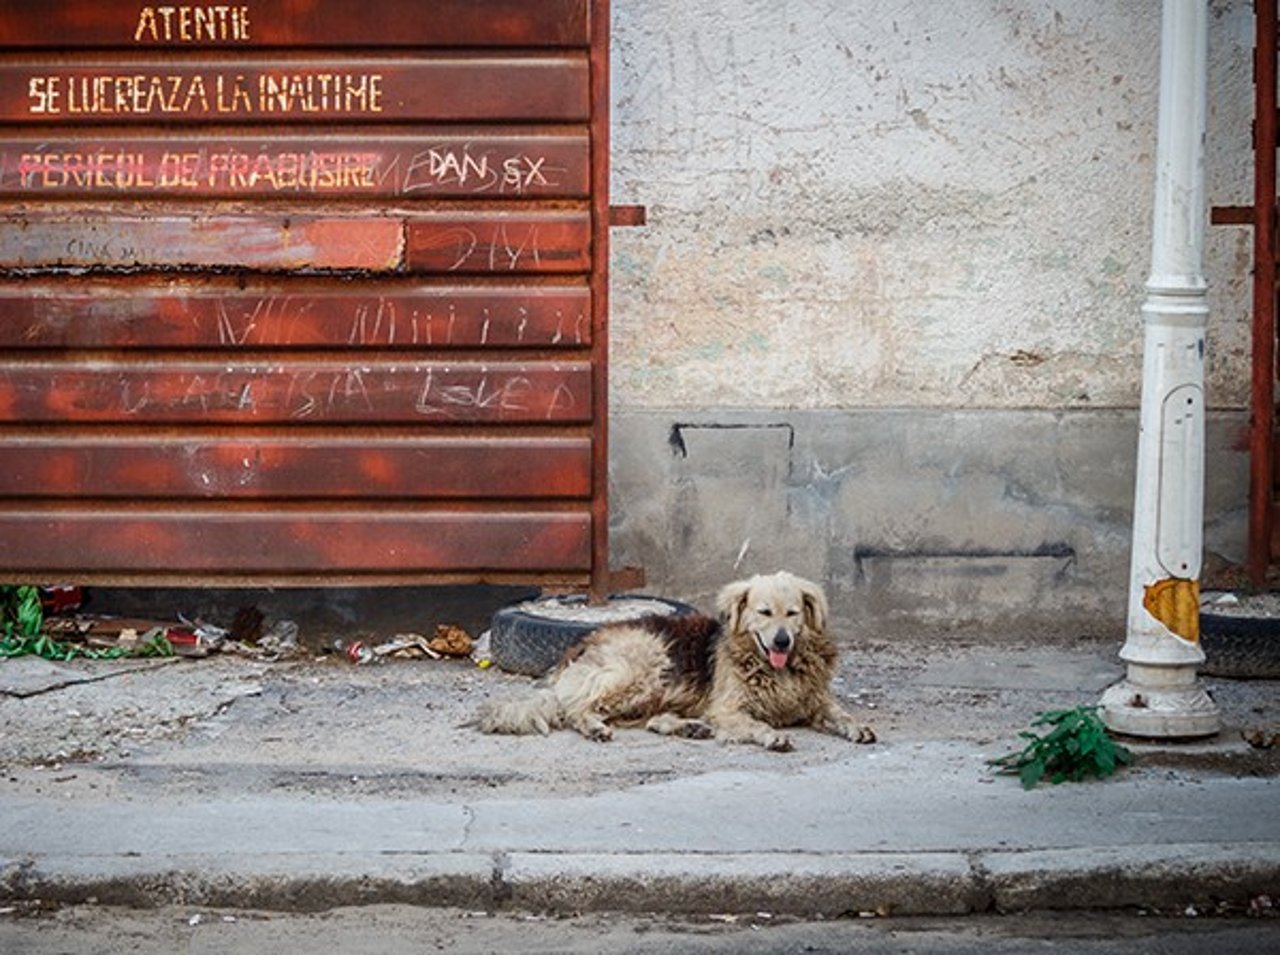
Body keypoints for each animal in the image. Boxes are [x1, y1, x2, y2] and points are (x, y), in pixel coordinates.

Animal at [476, 568, 875, 747]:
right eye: (764, 613)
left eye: (792, 614)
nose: (781, 641)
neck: (778, 669)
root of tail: (579, 647)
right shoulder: (727, 709)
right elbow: (754, 724)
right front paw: (770, 736)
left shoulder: (816, 700)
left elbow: (839, 713)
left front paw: (856, 726)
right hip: (646, 669)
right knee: (579, 708)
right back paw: (595, 727)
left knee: (643, 719)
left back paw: (685, 726)